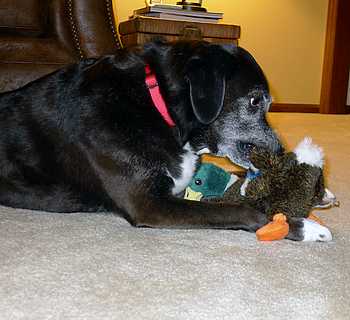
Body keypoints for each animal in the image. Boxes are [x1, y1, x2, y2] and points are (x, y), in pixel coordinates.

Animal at [0, 40, 328, 240]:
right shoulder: (149, 203)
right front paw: (305, 226)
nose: (281, 153)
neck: (160, 109)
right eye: (255, 101)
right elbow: (241, 209)